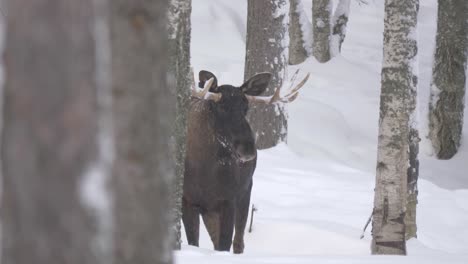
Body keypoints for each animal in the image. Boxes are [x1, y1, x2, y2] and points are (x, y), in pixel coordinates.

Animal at [183, 70, 310, 254]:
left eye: (246, 107)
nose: (249, 148)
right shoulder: (187, 200)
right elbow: (195, 242)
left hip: (245, 190)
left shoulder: (229, 198)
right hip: (210, 209)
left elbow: (225, 243)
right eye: (221, 107)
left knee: (238, 242)